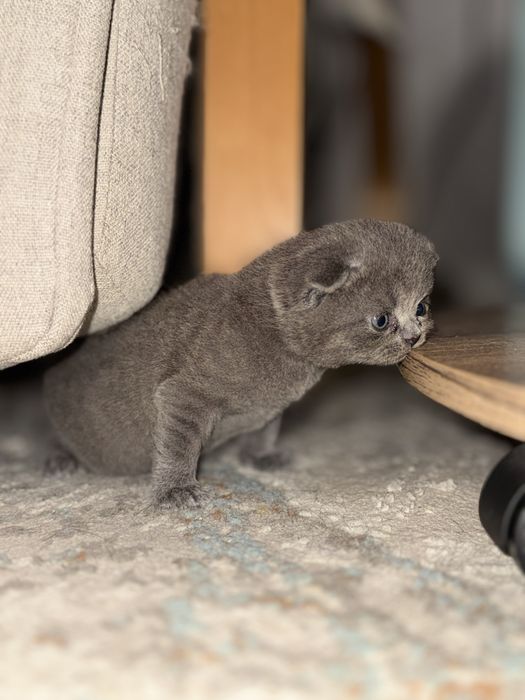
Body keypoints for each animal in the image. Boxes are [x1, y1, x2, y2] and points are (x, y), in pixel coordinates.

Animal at [44, 219, 438, 506]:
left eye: (421, 307)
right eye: (381, 320)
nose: (413, 337)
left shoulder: (271, 407)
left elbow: (265, 428)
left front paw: (260, 457)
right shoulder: (184, 394)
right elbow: (178, 444)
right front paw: (175, 489)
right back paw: (60, 460)